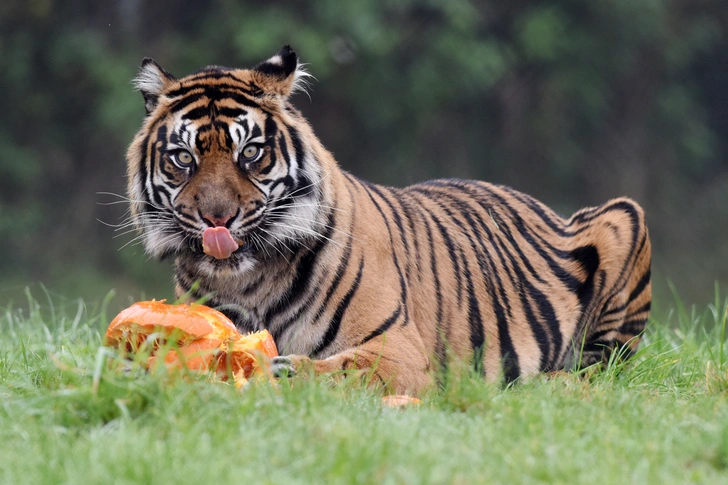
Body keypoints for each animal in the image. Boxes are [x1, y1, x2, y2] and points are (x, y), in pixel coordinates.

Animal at [126, 44, 656, 394]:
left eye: (250, 153)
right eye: (183, 158)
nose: (218, 218)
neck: (250, 281)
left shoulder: (398, 348)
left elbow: (342, 369)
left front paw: (286, 371)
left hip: (624, 216)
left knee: (601, 367)